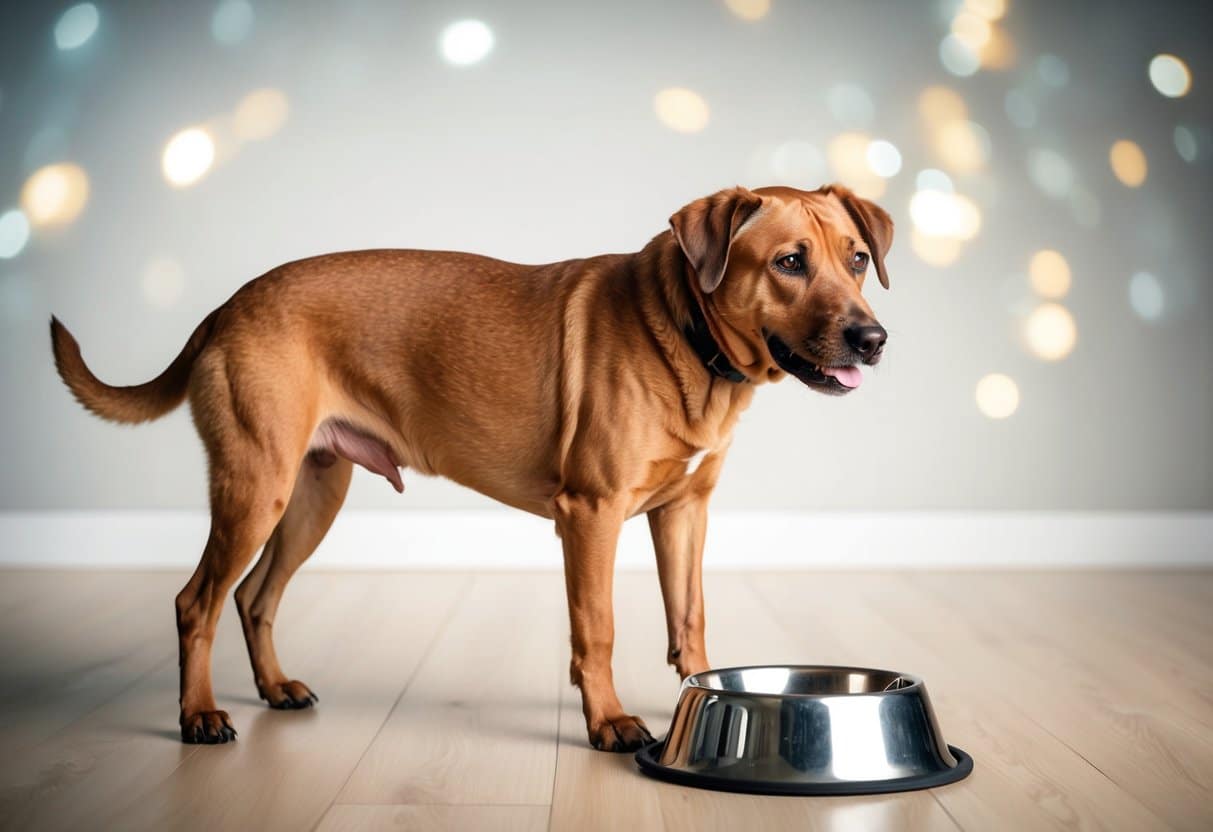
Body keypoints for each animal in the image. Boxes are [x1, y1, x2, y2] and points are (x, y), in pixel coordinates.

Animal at [49, 185, 892, 751]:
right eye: (789, 262)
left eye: (856, 260)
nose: (873, 338)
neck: (688, 333)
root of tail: (226, 307)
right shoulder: (591, 515)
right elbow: (598, 629)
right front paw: (609, 722)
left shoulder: (684, 514)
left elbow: (689, 621)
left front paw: (701, 703)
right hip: (255, 487)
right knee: (197, 602)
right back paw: (197, 716)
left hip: (312, 493)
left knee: (255, 597)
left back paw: (275, 689)